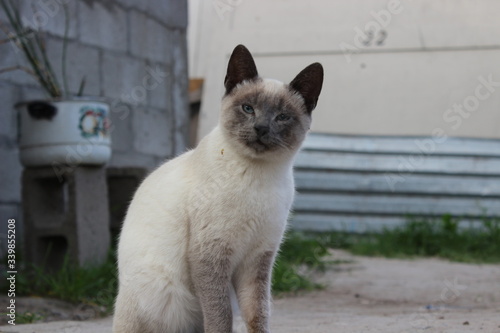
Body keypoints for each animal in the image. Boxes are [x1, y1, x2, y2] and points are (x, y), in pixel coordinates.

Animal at [113, 44, 324, 332]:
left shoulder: (257, 258)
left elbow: (257, 314)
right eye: (248, 108)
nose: (260, 128)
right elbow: (220, 316)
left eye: (282, 117)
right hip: (161, 293)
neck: (257, 176)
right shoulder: (211, 254)